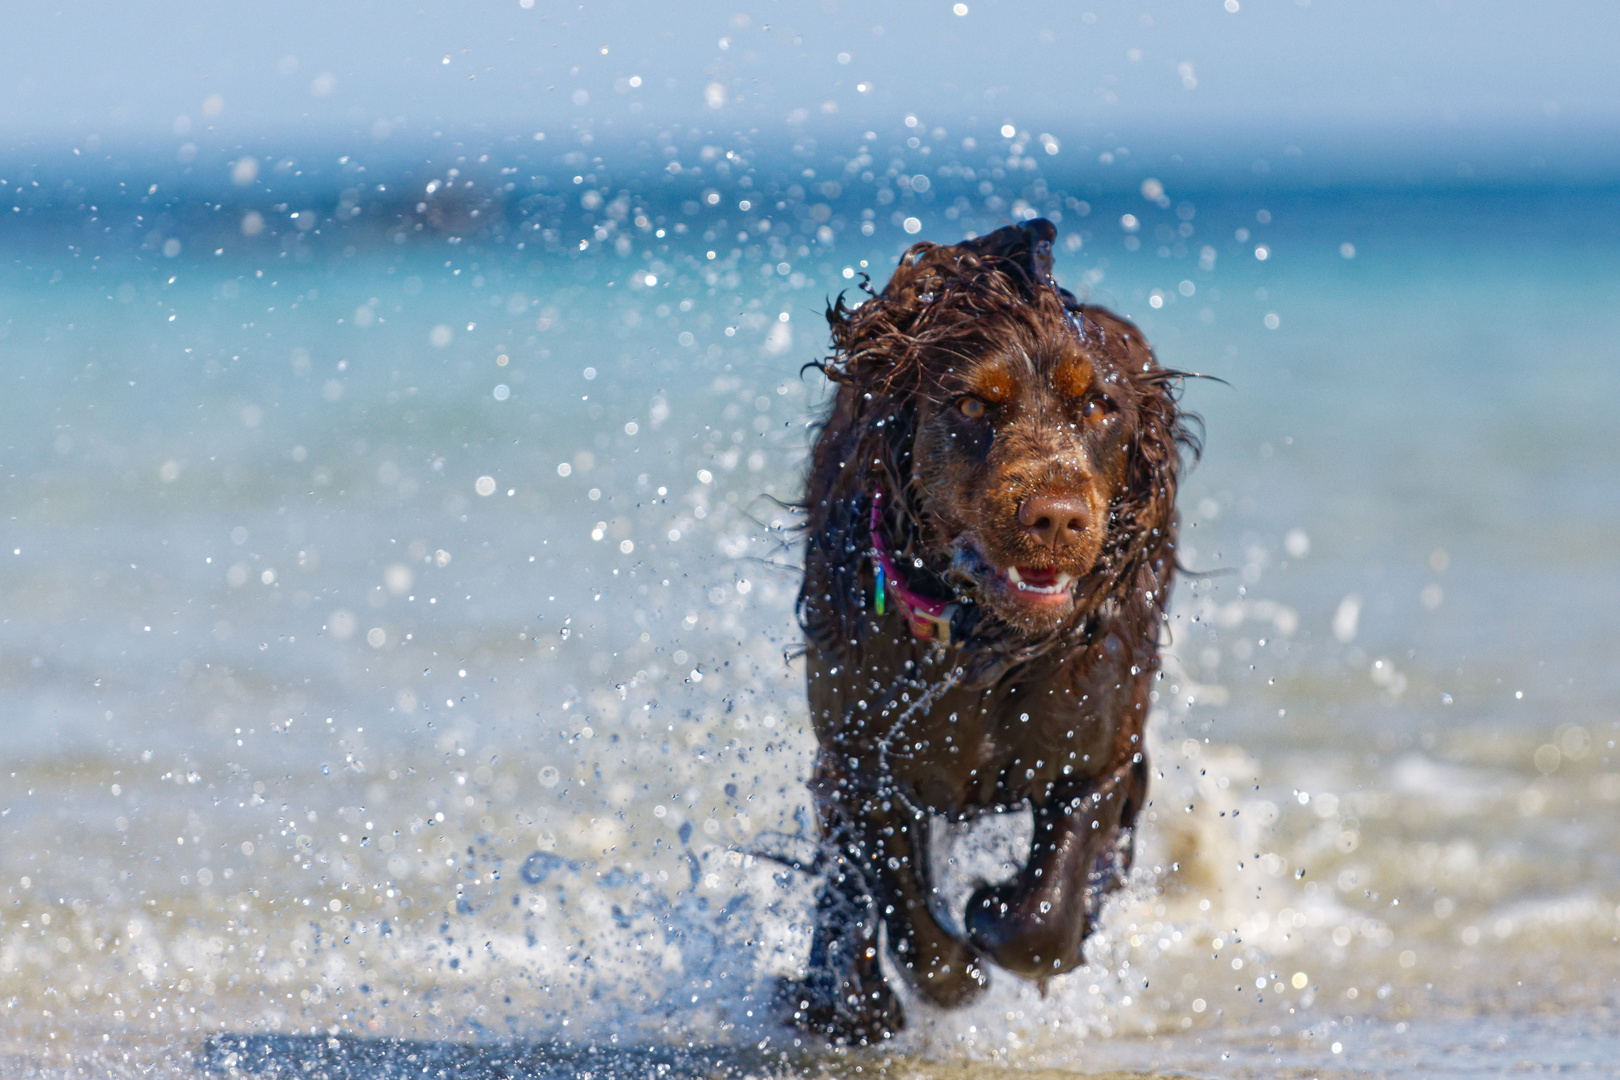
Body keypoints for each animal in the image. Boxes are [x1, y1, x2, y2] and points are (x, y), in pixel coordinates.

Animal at [784, 216, 1205, 1036]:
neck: (983, 635)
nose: (1056, 518)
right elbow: (905, 912)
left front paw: (993, 910)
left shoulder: (1099, 750)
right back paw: (846, 998)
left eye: (1100, 407)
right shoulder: (862, 753)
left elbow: (1042, 919)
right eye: (975, 407)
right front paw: (952, 975)